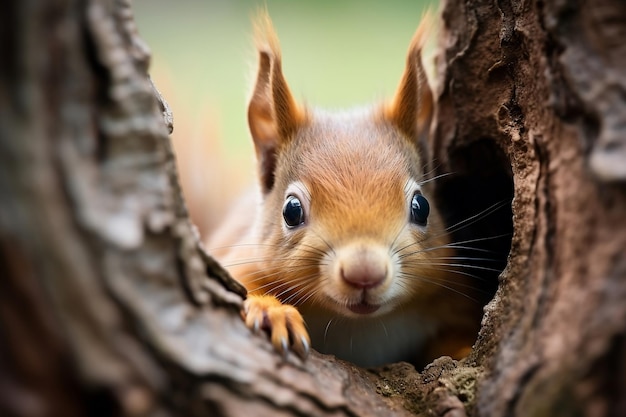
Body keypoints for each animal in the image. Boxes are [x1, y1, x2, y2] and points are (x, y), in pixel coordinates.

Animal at [207, 11, 480, 366]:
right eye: (291, 211)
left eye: (422, 207)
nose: (365, 273)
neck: (358, 326)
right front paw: (273, 313)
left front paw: (461, 350)